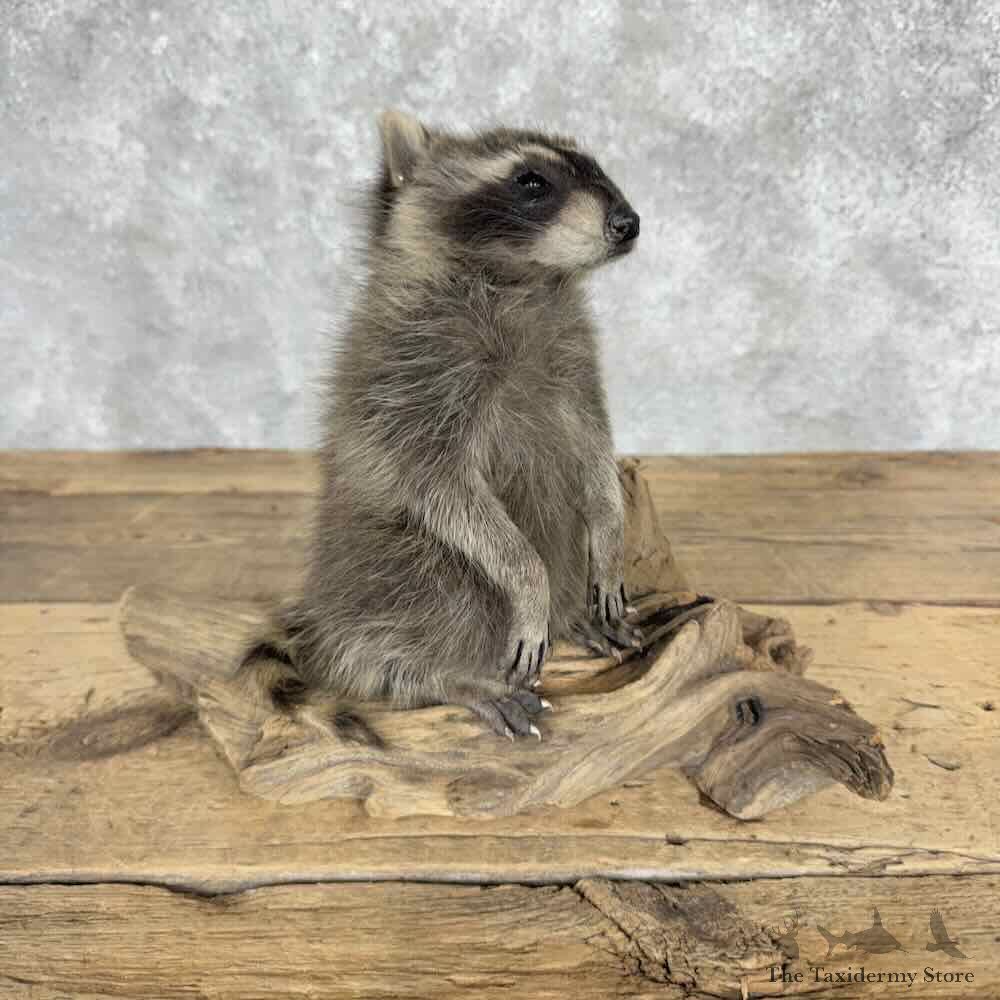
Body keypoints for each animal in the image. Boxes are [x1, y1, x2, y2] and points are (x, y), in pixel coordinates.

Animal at [243, 111, 642, 741]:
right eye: (531, 182)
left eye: (595, 166)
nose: (628, 224)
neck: (526, 278)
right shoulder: (412, 374)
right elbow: (438, 484)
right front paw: (526, 577)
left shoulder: (572, 353)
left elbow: (594, 438)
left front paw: (610, 527)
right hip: (388, 566)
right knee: (444, 588)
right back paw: (442, 674)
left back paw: (571, 612)